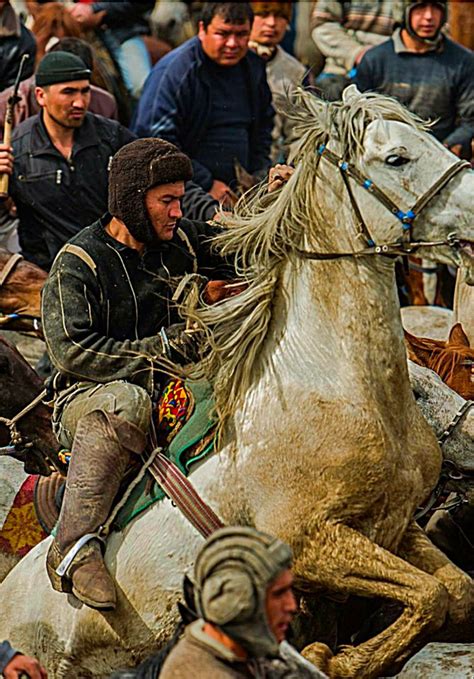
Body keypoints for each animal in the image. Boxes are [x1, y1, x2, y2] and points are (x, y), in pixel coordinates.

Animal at [0, 86, 474, 679]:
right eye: (396, 157)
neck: (340, 391)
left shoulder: (396, 526)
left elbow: (453, 593)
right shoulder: (313, 545)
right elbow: (431, 595)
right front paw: (331, 657)